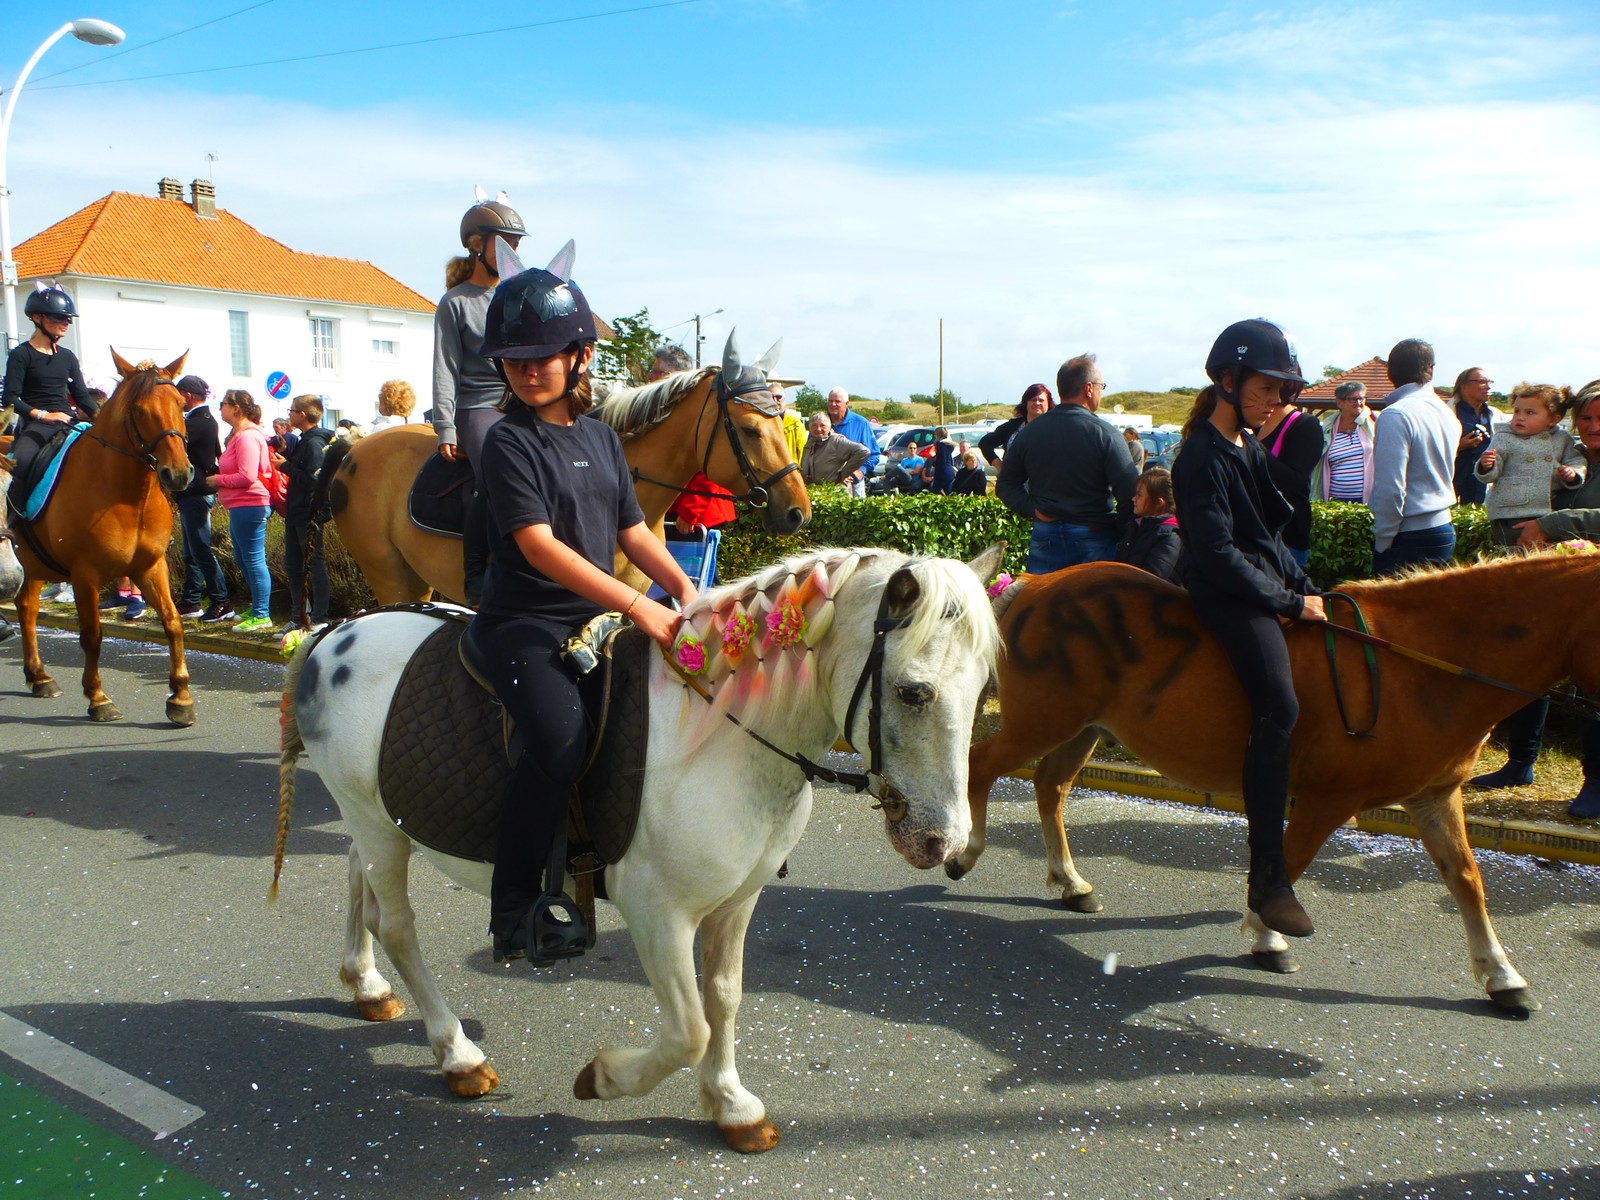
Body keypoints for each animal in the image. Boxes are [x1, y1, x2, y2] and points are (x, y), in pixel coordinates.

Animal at [7, 352, 197, 725]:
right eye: (139, 410)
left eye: (181, 405)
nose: (178, 474)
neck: (127, 494)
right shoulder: (85, 575)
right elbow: (92, 636)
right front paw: (98, 698)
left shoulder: (151, 567)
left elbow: (173, 623)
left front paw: (181, 698)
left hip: (30, 564)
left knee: (27, 609)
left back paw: (40, 677)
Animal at [273, 543, 1003, 1151]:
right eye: (913, 692)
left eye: (982, 693)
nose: (942, 840)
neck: (720, 738)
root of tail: (335, 632)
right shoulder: (658, 914)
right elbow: (689, 1029)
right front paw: (603, 1079)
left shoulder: (736, 902)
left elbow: (725, 997)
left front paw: (730, 1104)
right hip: (374, 821)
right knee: (398, 926)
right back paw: (457, 1054)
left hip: (378, 819)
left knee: (359, 883)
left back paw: (366, 984)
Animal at [318, 331, 810, 605]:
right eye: (750, 429)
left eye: (783, 423)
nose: (798, 512)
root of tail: (353, 449)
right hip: (387, 574)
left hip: (413, 577)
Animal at [949, 553, 1600, 1015]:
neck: (1417, 664)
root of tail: (1037, 583)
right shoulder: (1327, 798)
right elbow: (1290, 859)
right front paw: (1267, 934)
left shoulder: (1434, 797)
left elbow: (1467, 881)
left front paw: (1501, 976)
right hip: (1043, 722)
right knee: (981, 765)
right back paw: (965, 853)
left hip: (1081, 727)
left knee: (1050, 787)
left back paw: (1070, 882)